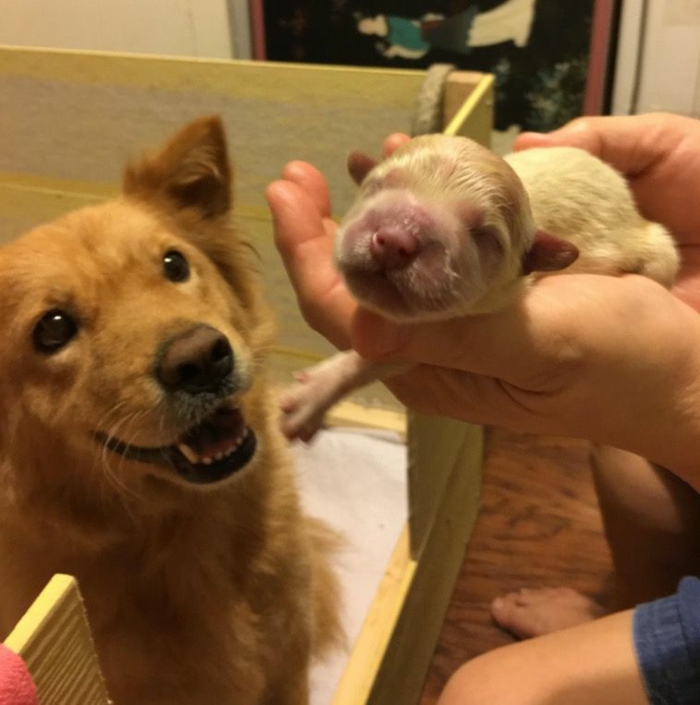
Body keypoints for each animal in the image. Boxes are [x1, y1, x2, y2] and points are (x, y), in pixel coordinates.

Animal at [282, 134, 680, 438]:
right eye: (377, 186)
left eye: (484, 236)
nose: (394, 241)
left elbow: (371, 360)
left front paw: (315, 393)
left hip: (659, 251)